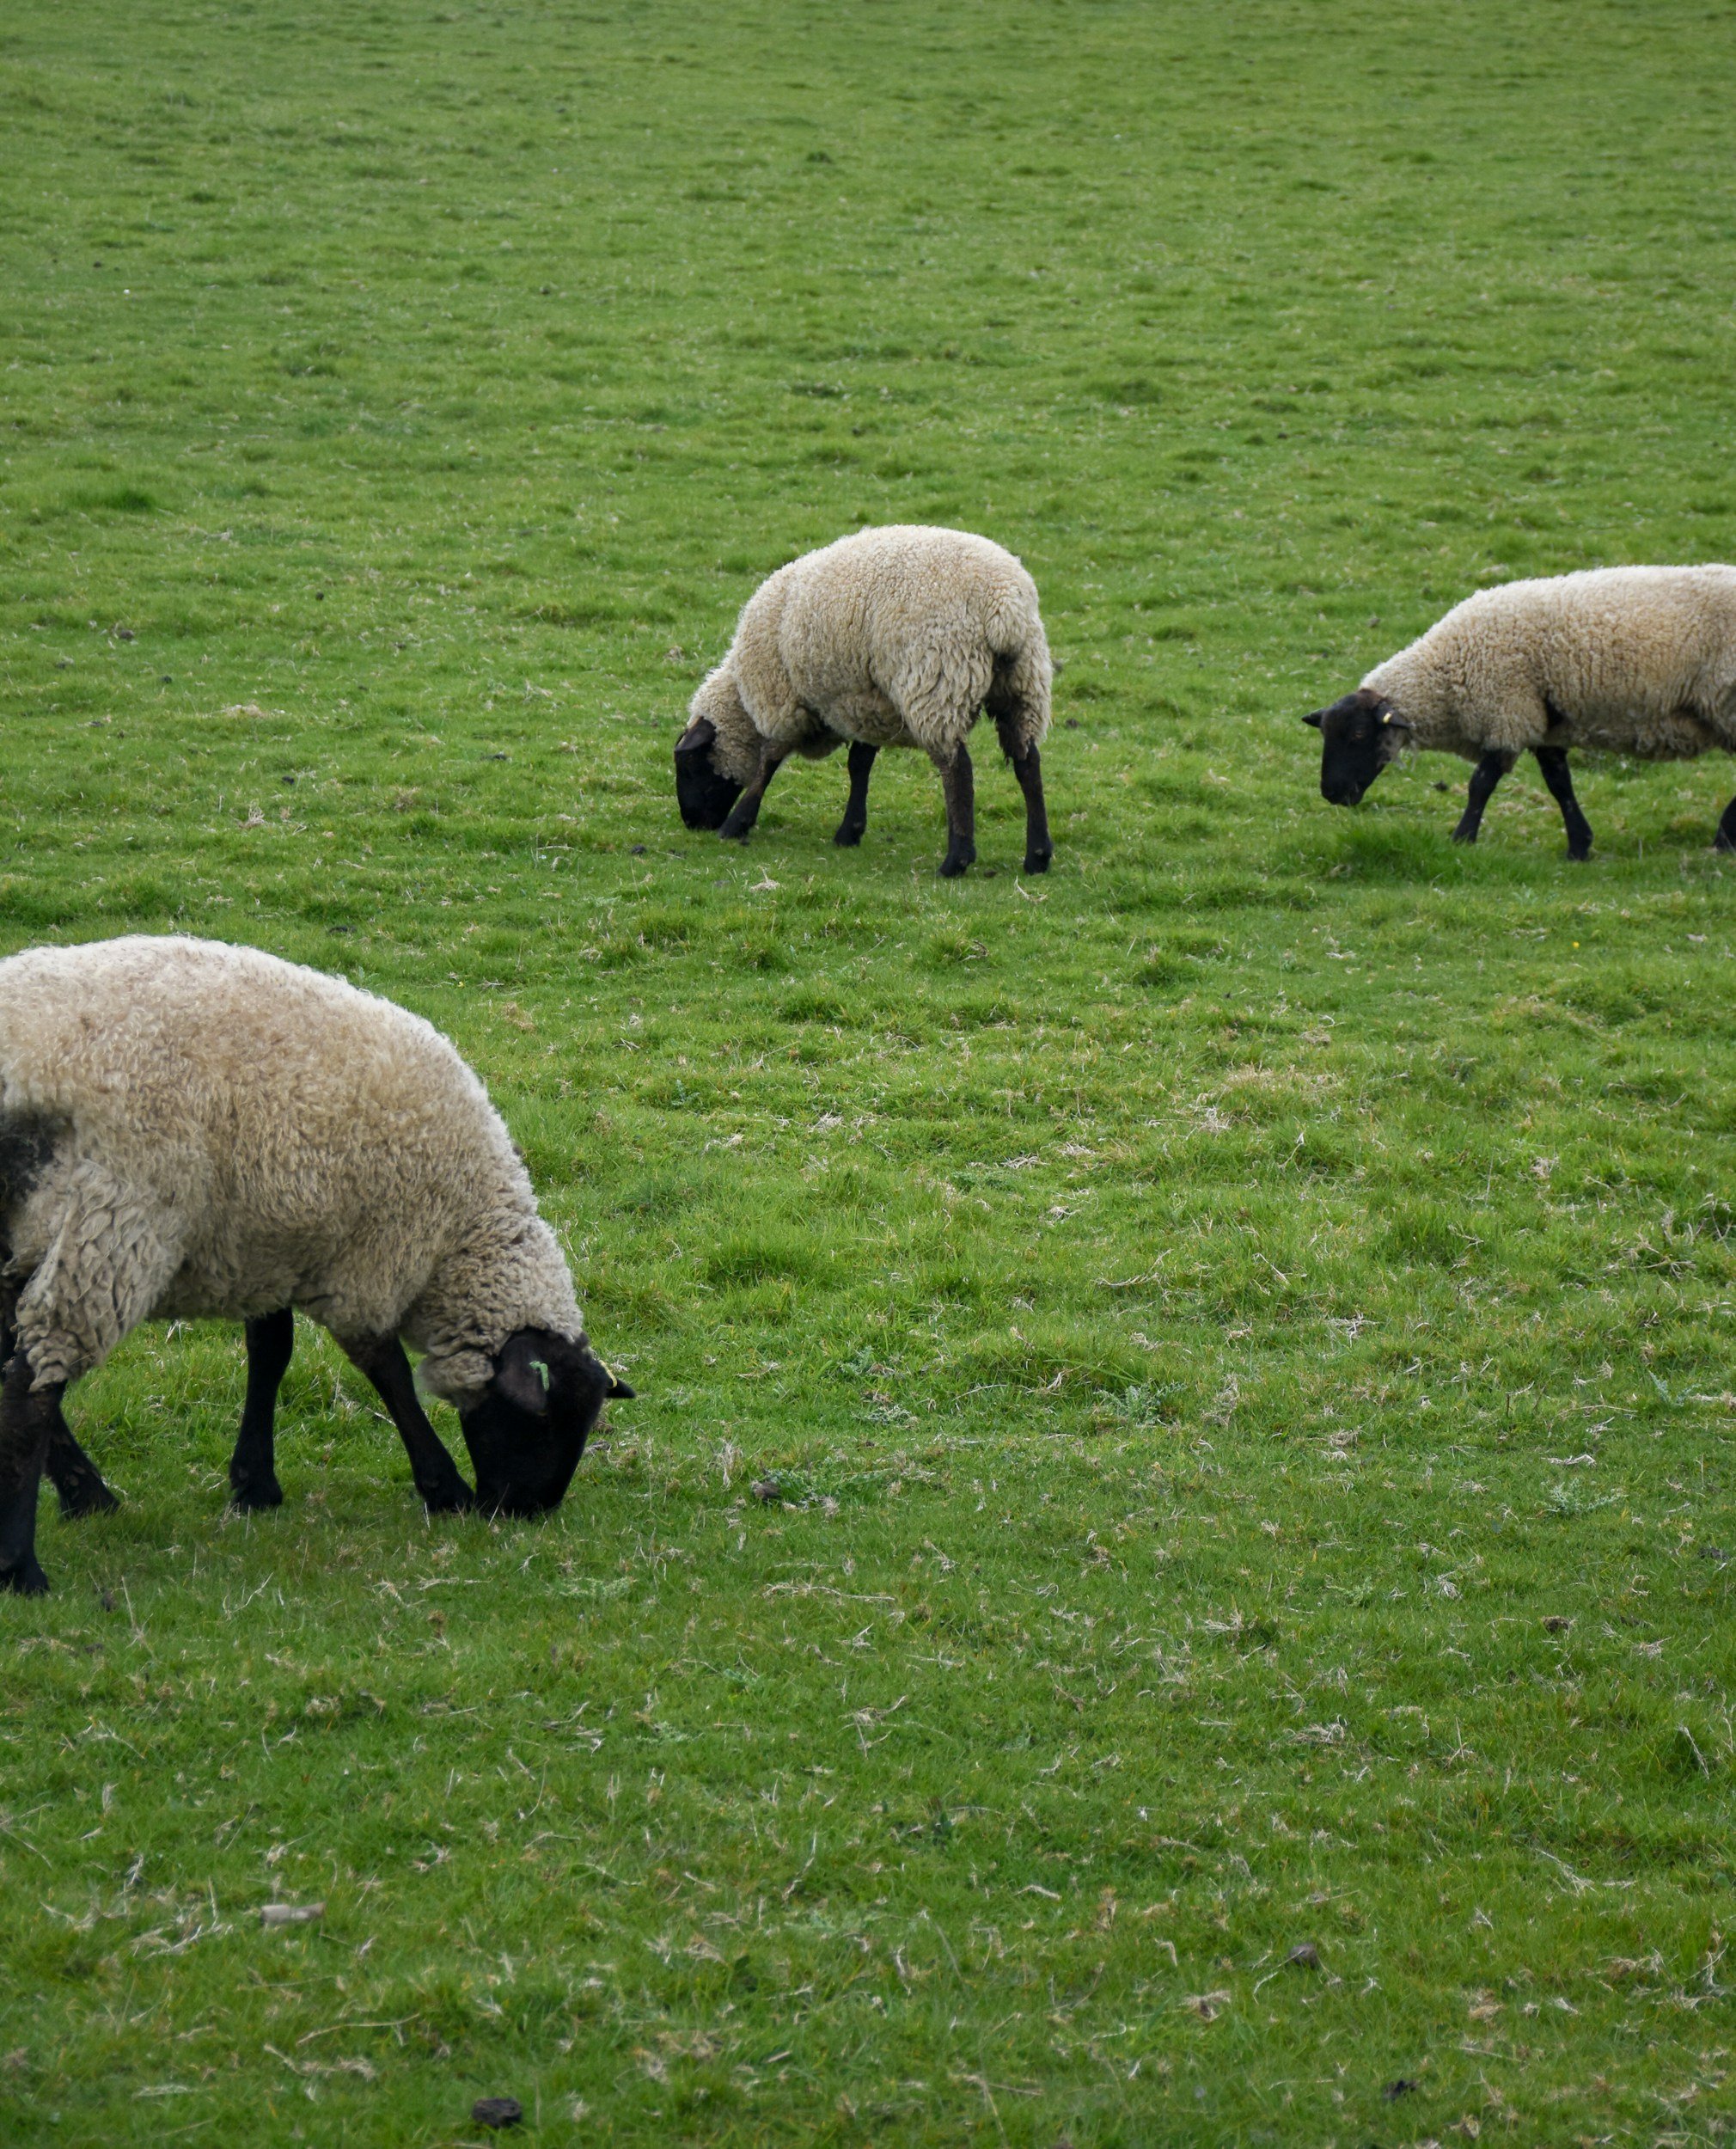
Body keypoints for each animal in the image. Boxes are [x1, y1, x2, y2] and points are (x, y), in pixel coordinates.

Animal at [0, 936, 632, 1596]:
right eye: (544, 1423)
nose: (525, 1511)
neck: (456, 1237)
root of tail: (20, 1067)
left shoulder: (268, 1244)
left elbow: (271, 1353)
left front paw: (254, 1484)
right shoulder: (369, 1259)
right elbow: (387, 1372)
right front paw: (443, 1488)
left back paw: (87, 1497)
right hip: (112, 1222)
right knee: (32, 1382)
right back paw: (25, 1566)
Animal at [673, 524, 1054, 878]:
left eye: (690, 764)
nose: (692, 823)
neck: (744, 694)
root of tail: (1004, 605)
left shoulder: (785, 701)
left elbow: (769, 760)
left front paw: (737, 822)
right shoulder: (865, 702)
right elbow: (859, 763)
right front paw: (849, 831)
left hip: (938, 681)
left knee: (957, 768)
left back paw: (956, 861)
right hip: (1023, 684)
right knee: (1027, 763)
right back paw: (1037, 856)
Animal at [1304, 566, 1736, 858]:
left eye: (1359, 735)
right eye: (1326, 735)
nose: (1331, 794)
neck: (1447, 670)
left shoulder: (1507, 715)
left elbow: (1481, 783)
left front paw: (1462, 839)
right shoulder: (1541, 724)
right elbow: (1559, 784)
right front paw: (1579, 846)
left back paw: (1723, 839)